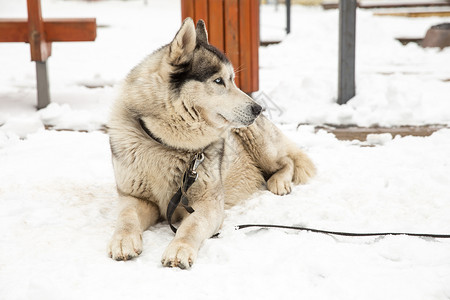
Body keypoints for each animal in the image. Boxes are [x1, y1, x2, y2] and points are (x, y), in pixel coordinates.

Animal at [107, 17, 314, 268]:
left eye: (233, 80)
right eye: (218, 81)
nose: (258, 108)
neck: (167, 144)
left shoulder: (207, 205)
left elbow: (191, 226)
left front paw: (179, 249)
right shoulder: (135, 198)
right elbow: (126, 218)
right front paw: (123, 241)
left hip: (258, 142)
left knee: (287, 160)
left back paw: (279, 182)